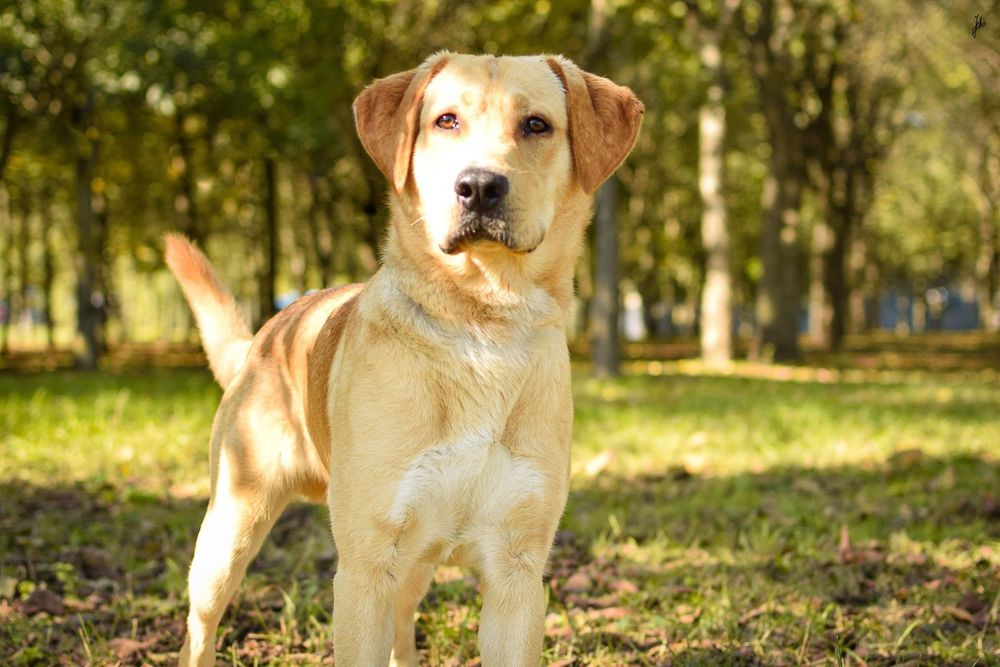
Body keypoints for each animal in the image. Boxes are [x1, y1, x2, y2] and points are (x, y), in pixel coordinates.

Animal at [166, 49, 640, 664]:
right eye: (446, 120)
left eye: (536, 124)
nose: (480, 186)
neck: (480, 324)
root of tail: (265, 336)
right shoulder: (365, 569)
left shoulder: (516, 574)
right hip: (230, 529)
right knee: (201, 627)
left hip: (412, 564)